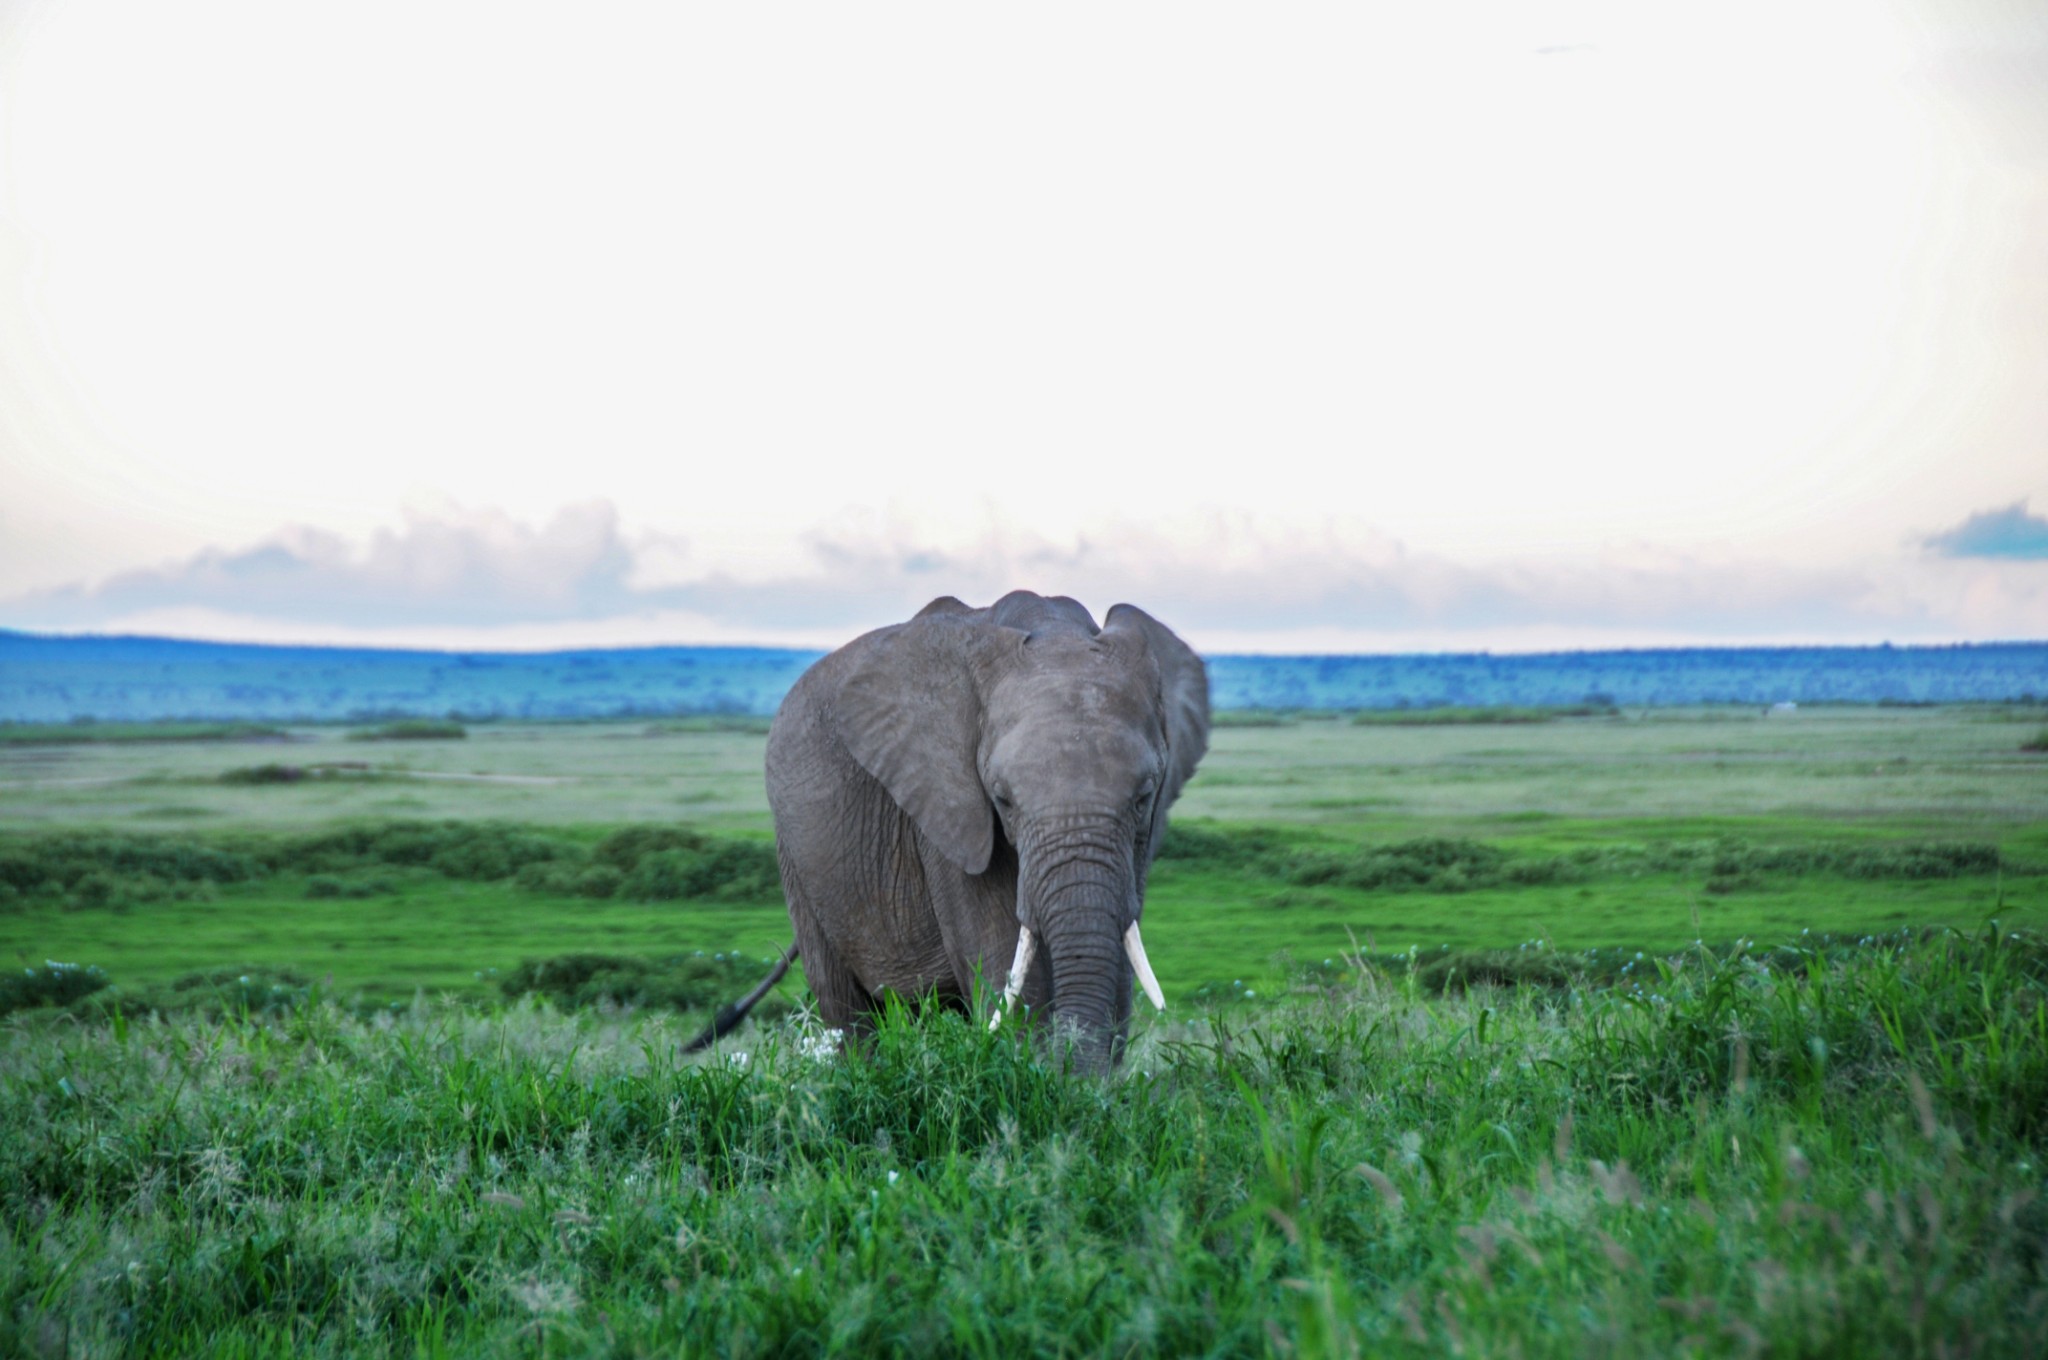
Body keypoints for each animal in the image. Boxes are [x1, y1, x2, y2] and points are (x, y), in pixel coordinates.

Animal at [679, 585, 1204, 1073]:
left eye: (1144, 796)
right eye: (1002, 799)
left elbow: (1119, 949)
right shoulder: (946, 810)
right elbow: (1004, 961)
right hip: (796, 855)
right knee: (845, 1005)